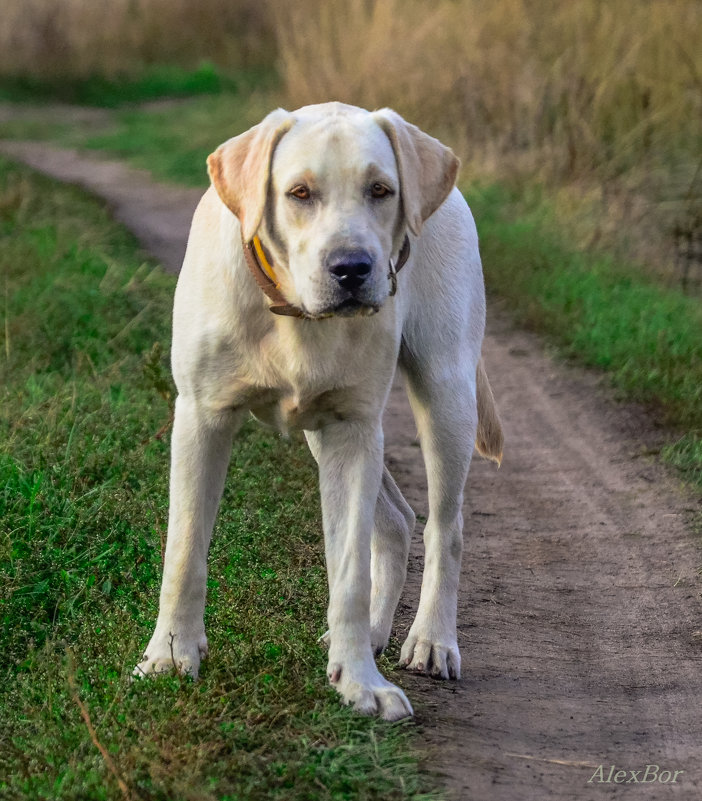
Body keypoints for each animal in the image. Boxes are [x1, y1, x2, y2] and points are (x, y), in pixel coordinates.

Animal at [135, 100, 504, 720]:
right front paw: (170, 656)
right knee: (398, 519)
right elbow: (184, 549)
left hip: (446, 391)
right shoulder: (202, 417)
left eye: (381, 190)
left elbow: (350, 573)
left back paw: (430, 640)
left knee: (444, 526)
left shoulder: (352, 431)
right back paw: (375, 633)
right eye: (299, 193)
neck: (292, 311)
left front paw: (359, 683)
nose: (352, 267)